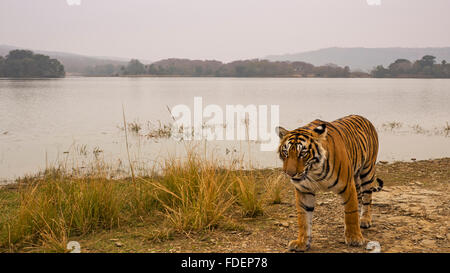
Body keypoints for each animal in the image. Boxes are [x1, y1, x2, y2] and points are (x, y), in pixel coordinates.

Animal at [278, 113, 384, 250]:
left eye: (303, 153)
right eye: (285, 152)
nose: (289, 173)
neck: (314, 172)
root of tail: (364, 118)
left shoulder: (347, 186)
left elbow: (350, 212)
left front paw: (354, 238)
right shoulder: (304, 190)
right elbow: (303, 218)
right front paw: (301, 242)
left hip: (367, 171)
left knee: (367, 198)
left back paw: (364, 220)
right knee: (360, 198)